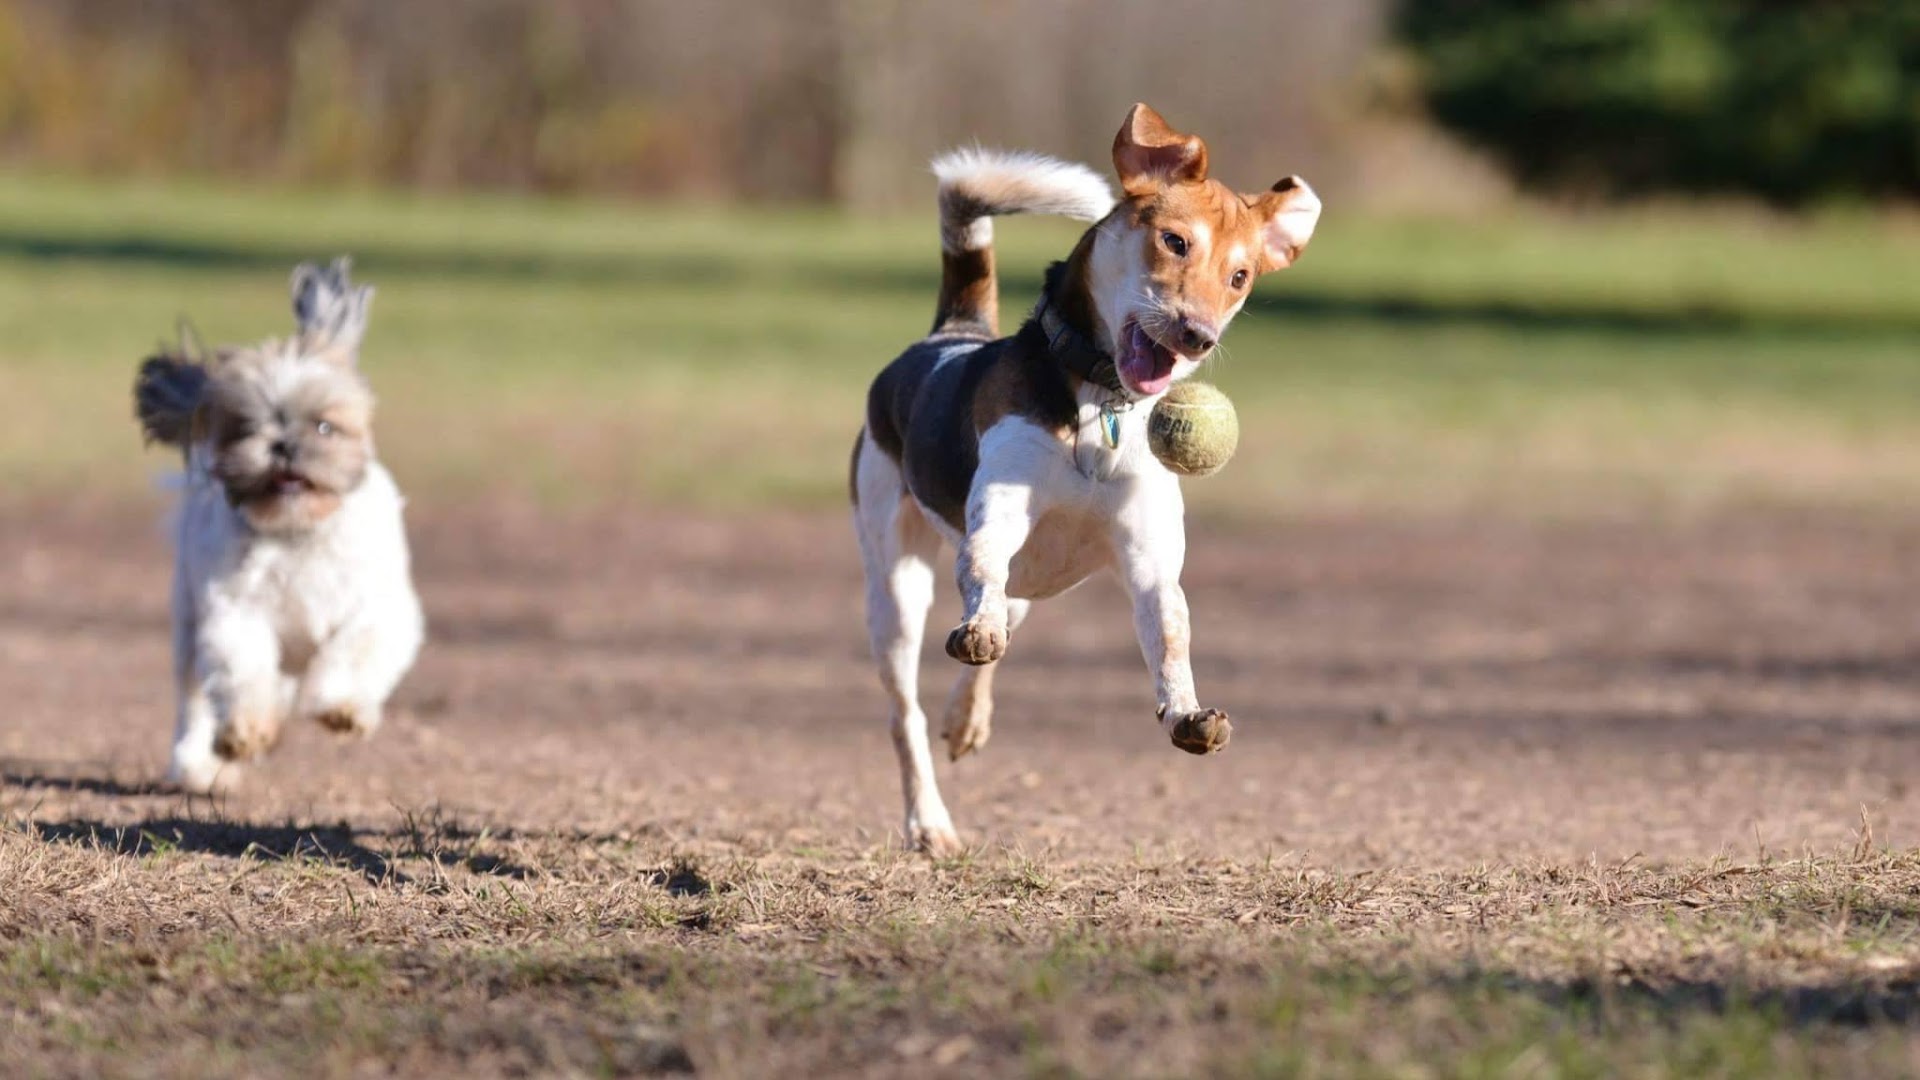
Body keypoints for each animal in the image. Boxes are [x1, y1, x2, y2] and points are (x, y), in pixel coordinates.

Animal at [135, 255, 424, 787]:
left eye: (324, 426)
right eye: (246, 428)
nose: (283, 445)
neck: (297, 532)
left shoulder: (376, 606)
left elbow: (353, 652)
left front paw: (343, 708)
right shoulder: (234, 612)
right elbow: (243, 672)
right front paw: (245, 732)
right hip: (187, 625)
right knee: (195, 697)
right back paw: (198, 763)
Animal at [852, 102, 1320, 849]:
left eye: (1241, 277)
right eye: (1174, 241)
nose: (1198, 336)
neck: (1101, 403)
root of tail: (950, 333)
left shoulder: (1151, 562)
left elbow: (1171, 636)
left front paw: (1186, 714)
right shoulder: (999, 515)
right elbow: (981, 568)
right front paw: (976, 633)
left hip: (1027, 586)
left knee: (997, 639)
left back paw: (967, 719)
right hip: (893, 591)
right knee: (907, 712)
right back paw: (929, 821)